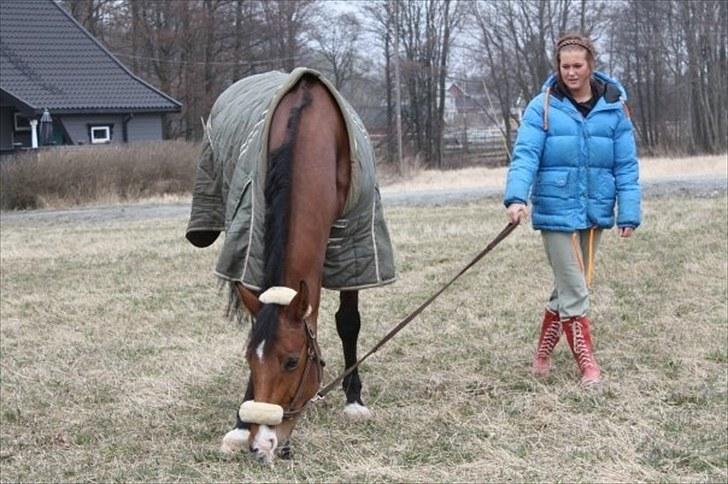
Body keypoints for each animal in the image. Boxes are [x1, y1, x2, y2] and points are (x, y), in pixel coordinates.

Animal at [219, 73, 372, 464]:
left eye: (291, 362)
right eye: (249, 360)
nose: (263, 445)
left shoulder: (354, 238)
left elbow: (348, 321)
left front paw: (354, 399)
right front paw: (239, 426)